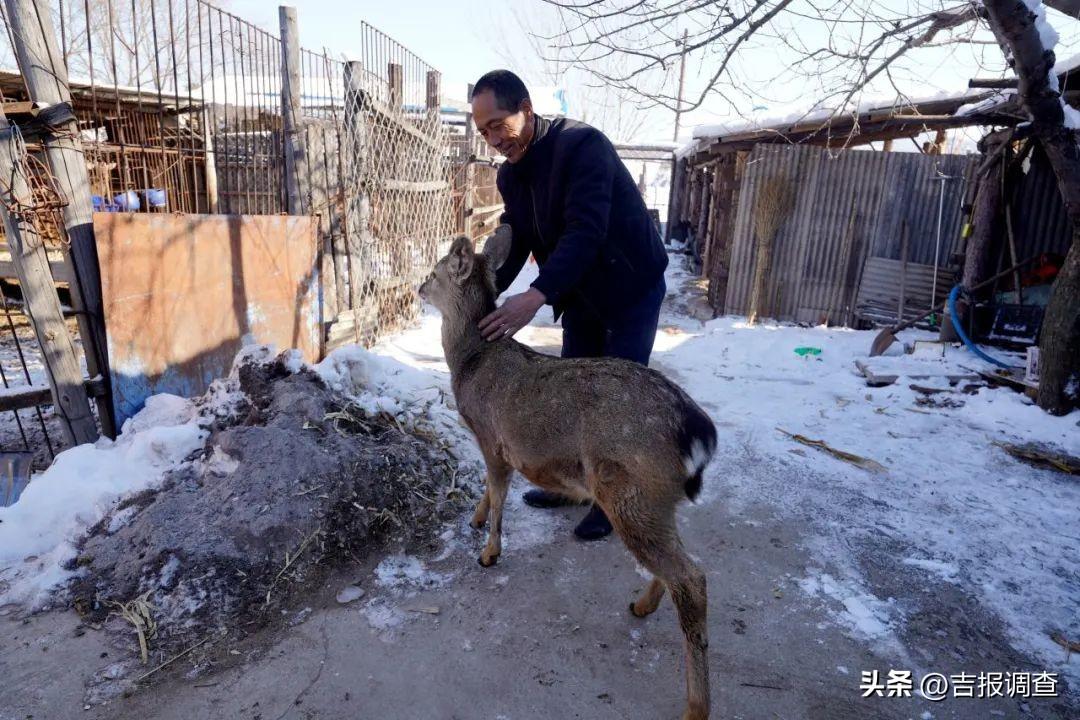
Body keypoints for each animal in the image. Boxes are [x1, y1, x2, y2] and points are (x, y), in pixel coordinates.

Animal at [419, 234, 717, 716]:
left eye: (435, 271)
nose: (418, 288)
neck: (472, 363)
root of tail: (695, 430)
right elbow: (488, 489)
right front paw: (476, 519)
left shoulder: (493, 438)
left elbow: (498, 491)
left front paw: (489, 552)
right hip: (656, 496)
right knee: (683, 563)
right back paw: (643, 604)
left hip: (630, 488)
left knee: (693, 578)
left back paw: (695, 706)